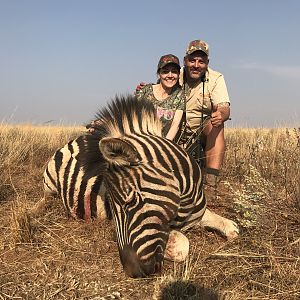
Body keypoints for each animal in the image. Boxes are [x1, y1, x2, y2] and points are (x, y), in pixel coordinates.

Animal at [42, 95, 239, 278]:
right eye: (110, 207)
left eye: (130, 201)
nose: (132, 271)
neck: (185, 199)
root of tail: (75, 140)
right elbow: (182, 245)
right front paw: (168, 248)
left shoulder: (198, 214)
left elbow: (231, 227)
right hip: (49, 183)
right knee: (46, 197)